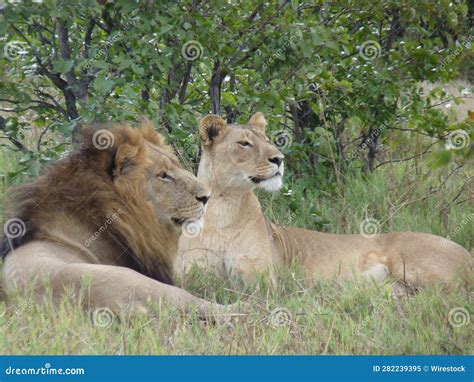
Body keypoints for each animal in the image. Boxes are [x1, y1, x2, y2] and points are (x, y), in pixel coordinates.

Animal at [176, 113, 472, 286]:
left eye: (268, 140)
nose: (279, 159)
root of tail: (467, 252)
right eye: (244, 143)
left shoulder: (263, 278)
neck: (225, 205)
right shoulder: (189, 274)